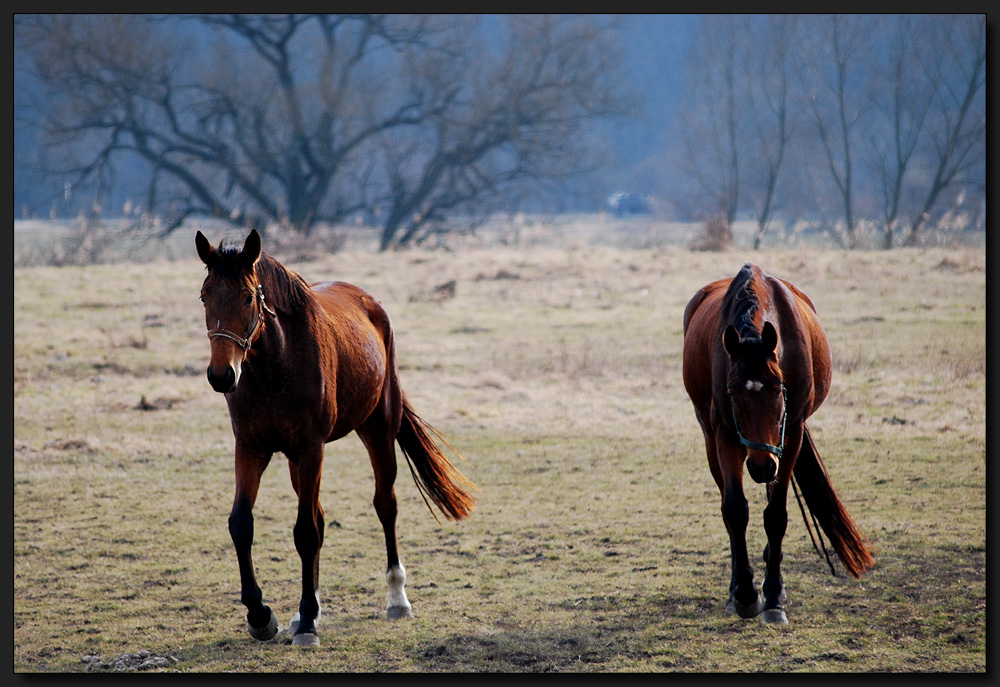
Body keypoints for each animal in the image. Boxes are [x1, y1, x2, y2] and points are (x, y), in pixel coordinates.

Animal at [197, 230, 478, 644]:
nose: (221, 375)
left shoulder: (311, 449)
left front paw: (307, 625)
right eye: (205, 295)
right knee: (320, 516)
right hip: (296, 459)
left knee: (385, 505)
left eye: (248, 296)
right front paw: (262, 616)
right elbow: (242, 524)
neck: (275, 367)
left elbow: (305, 532)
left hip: (377, 430)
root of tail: (369, 302)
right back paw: (305, 608)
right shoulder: (251, 449)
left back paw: (396, 599)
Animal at [684, 262, 872, 624]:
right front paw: (745, 594)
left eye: (777, 388)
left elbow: (776, 515)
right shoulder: (725, 434)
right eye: (732, 392)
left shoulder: (792, 432)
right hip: (715, 438)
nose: (760, 466)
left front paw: (772, 597)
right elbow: (735, 509)